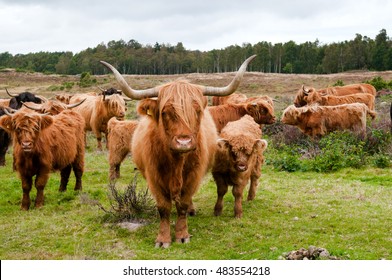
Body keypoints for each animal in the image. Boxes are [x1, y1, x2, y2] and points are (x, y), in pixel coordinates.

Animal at [99, 53, 256, 246]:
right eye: (165, 112)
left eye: (197, 111)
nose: (184, 142)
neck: (176, 161)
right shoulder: (154, 178)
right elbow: (163, 207)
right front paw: (163, 239)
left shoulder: (193, 177)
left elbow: (182, 204)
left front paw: (182, 235)